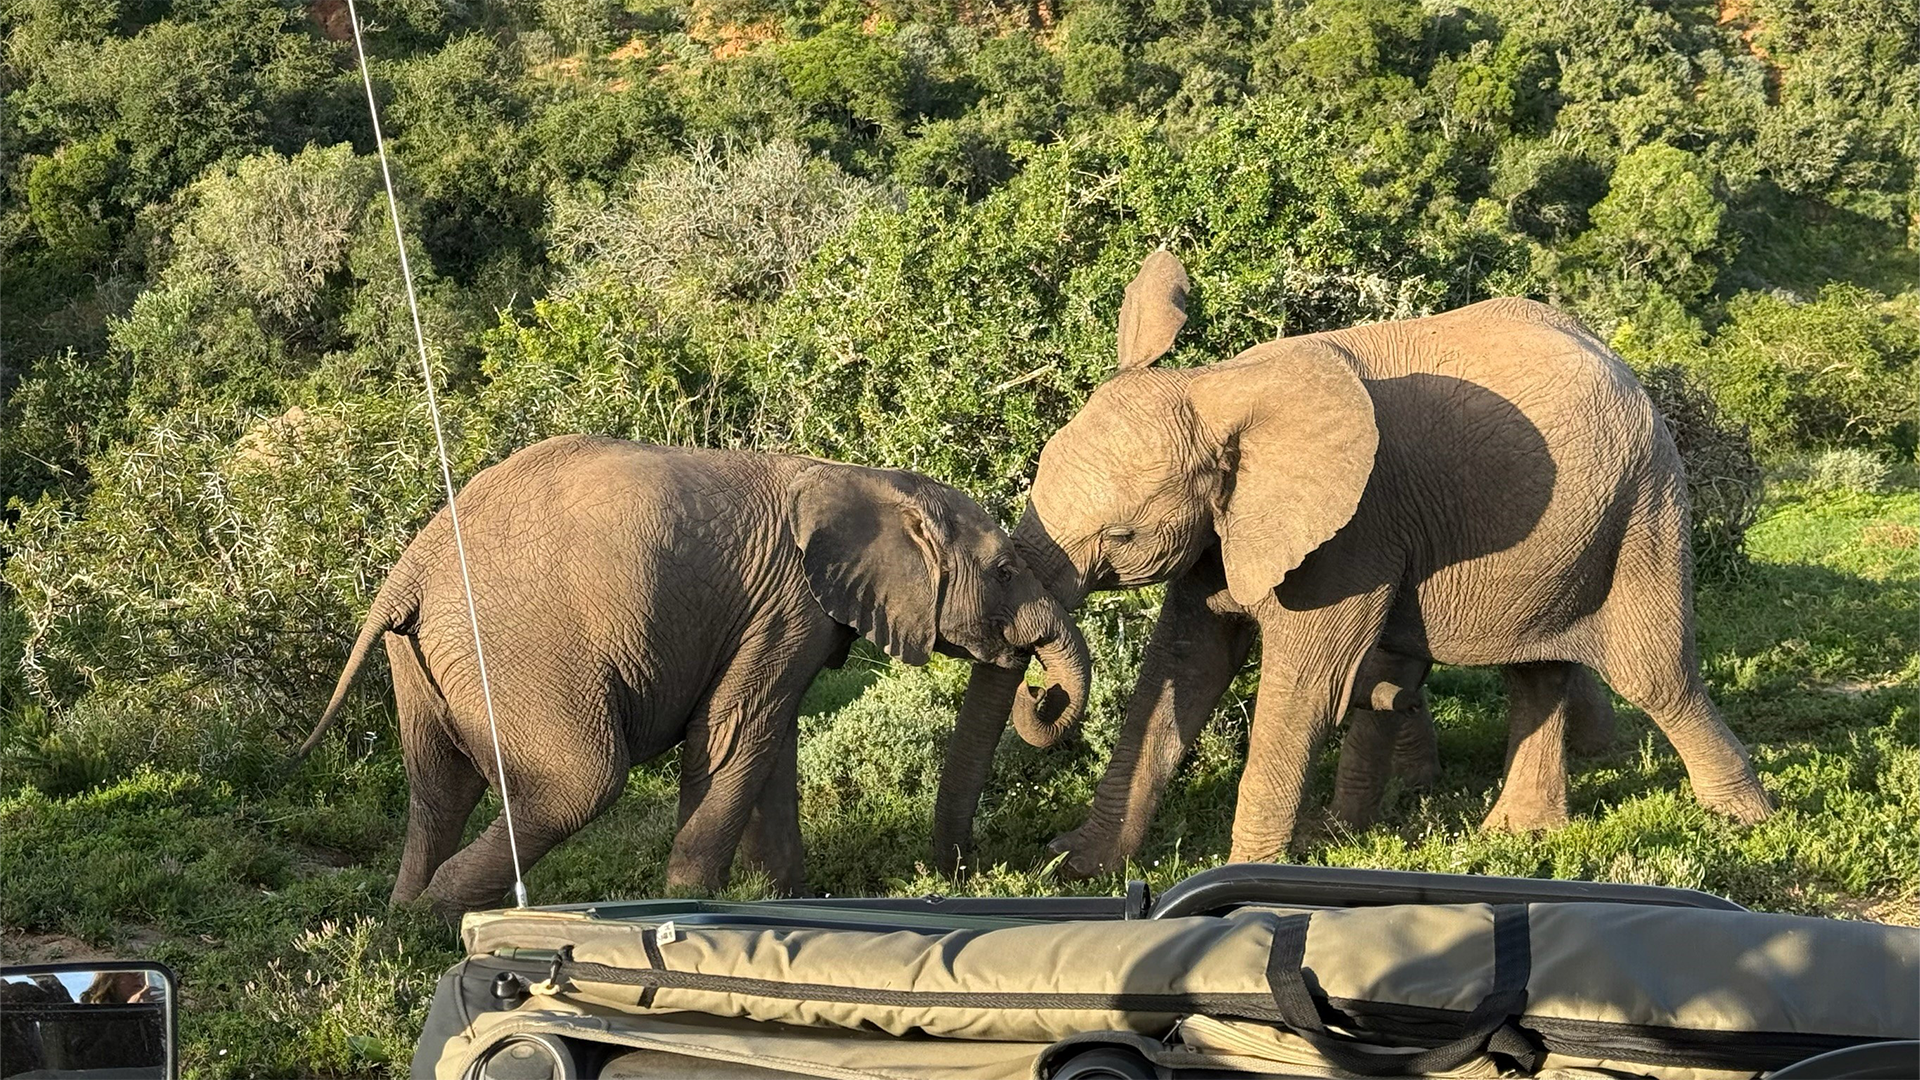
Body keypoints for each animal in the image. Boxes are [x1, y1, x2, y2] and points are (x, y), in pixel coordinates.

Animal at [300, 435, 1091, 914]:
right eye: (1005, 570)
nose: (1041, 691)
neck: (863, 479)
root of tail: (411, 567)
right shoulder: (789, 606)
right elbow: (739, 732)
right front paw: (695, 904)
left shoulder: (784, 618)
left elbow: (770, 745)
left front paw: (784, 906)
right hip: (513, 645)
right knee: (581, 782)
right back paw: (447, 914)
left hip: (429, 652)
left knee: (439, 788)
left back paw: (407, 919)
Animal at [939, 250, 1771, 878]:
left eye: (1119, 534)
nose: (1043, 697)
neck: (1217, 387)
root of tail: (1618, 359)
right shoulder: (1225, 530)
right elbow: (1183, 668)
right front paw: (1078, 865)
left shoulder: (1352, 533)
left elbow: (1305, 686)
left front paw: (1243, 877)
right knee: (1535, 672)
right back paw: (1516, 836)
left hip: (1645, 503)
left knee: (1655, 675)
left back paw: (1744, 823)